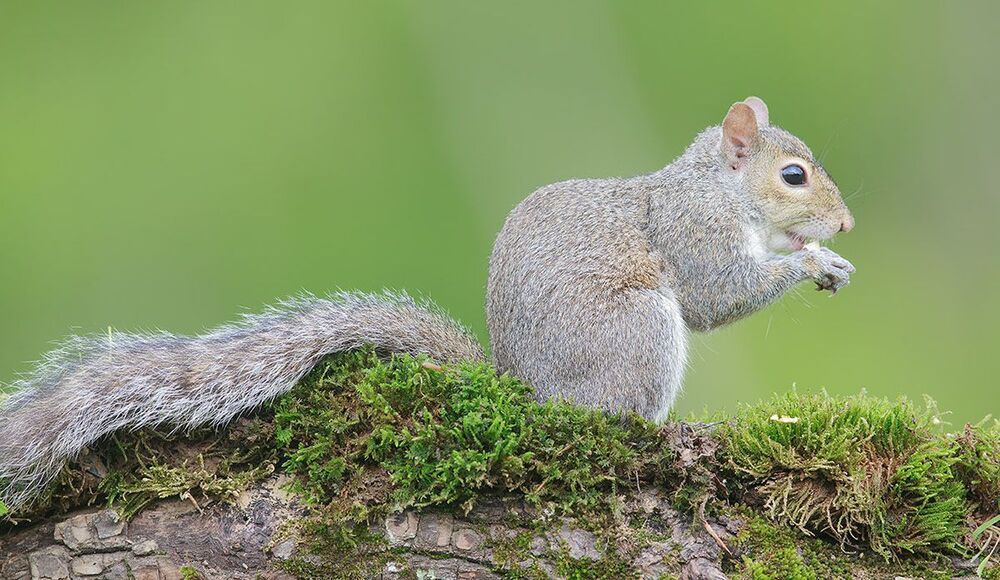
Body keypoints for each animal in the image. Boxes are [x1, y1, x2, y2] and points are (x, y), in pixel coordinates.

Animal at [0, 97, 854, 513]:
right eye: (793, 176)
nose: (845, 223)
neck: (717, 189)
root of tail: (528, 395)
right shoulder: (691, 234)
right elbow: (717, 296)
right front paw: (815, 261)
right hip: (638, 335)